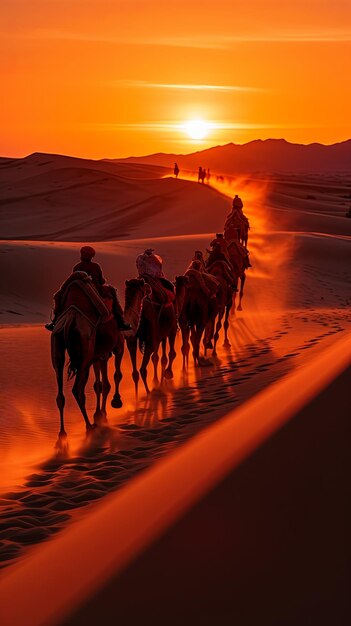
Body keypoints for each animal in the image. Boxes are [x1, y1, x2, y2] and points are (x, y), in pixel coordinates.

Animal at [51, 276, 124, 436]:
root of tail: (69, 322)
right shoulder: (116, 347)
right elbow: (112, 379)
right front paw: (114, 403)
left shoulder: (98, 356)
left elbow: (100, 384)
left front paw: (100, 415)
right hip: (85, 355)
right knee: (77, 389)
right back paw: (89, 427)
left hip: (57, 345)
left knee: (60, 394)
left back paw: (62, 435)